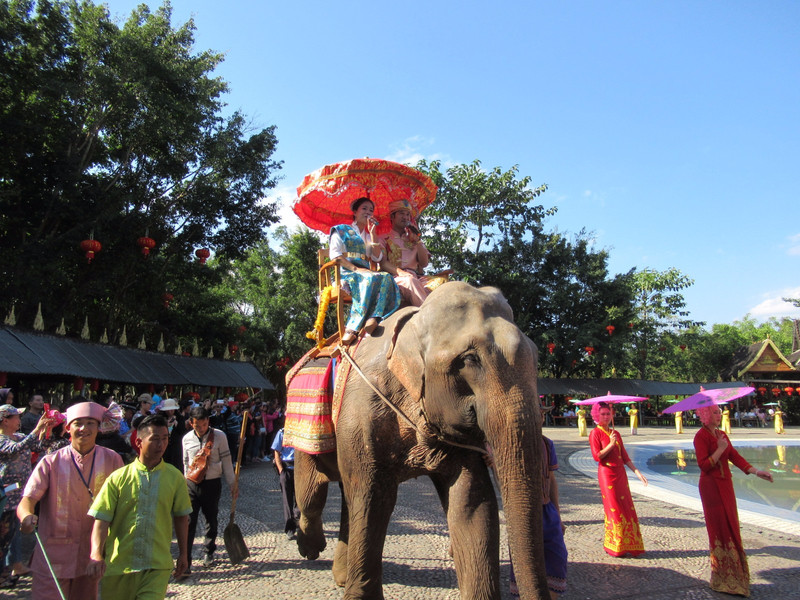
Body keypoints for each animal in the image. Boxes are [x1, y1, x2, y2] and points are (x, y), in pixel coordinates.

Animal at [294, 282, 552, 600]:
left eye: (535, 356)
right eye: (469, 359)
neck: (412, 324)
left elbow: (471, 502)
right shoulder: (362, 408)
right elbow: (373, 499)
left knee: (344, 493)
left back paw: (340, 576)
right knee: (312, 491)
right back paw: (311, 547)